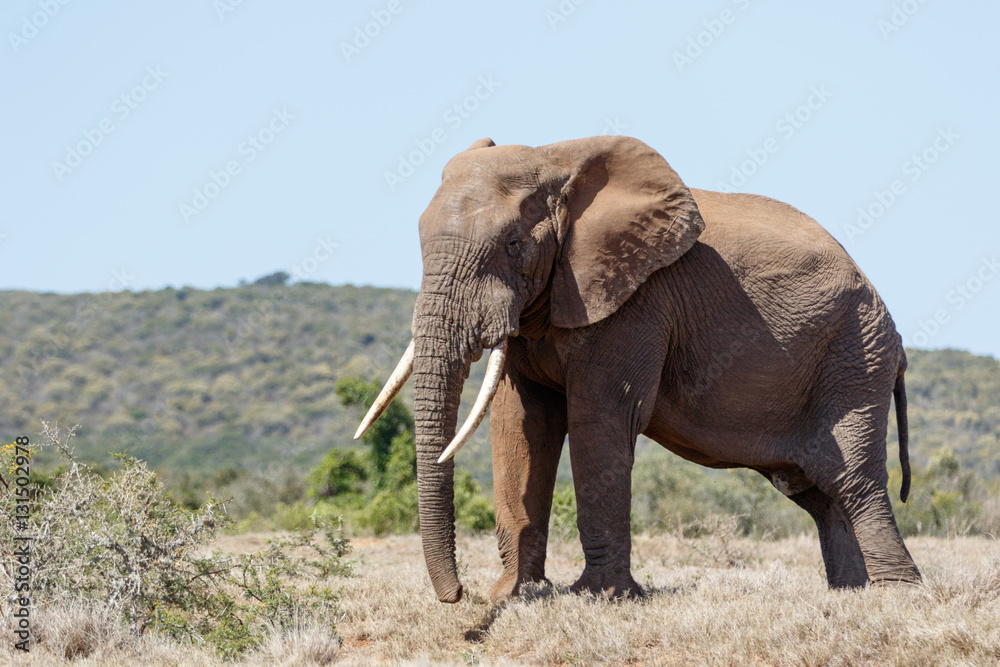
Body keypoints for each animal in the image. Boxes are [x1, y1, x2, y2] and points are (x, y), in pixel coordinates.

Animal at [356, 135, 921, 603]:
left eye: (513, 243)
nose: (458, 596)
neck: (555, 158)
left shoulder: (633, 300)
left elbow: (599, 419)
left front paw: (598, 597)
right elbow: (521, 423)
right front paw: (515, 594)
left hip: (854, 358)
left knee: (851, 478)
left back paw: (897, 595)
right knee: (816, 491)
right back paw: (849, 594)